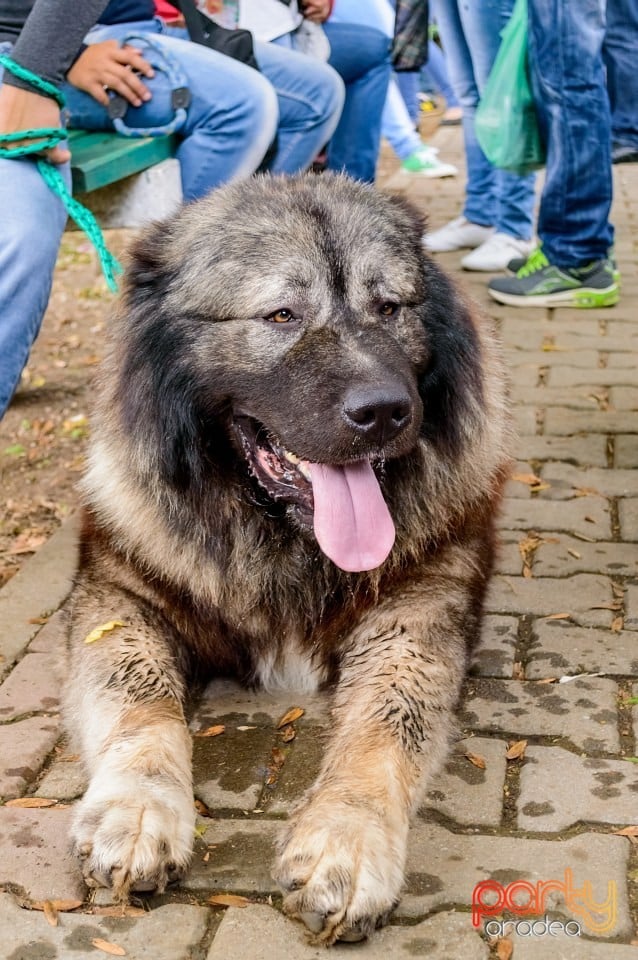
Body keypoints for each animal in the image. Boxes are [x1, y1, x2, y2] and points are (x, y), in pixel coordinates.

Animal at [65, 172, 512, 944]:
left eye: (388, 307)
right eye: (280, 315)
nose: (385, 411)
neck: (282, 539)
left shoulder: (421, 607)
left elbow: (388, 722)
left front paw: (348, 839)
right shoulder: (118, 597)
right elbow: (138, 701)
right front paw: (138, 808)